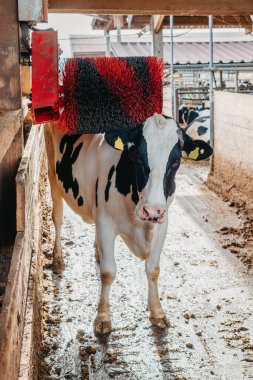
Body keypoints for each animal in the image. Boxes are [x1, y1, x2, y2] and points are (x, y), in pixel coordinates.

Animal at [44, 113, 212, 336]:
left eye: (176, 161)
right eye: (136, 156)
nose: (152, 211)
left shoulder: (163, 223)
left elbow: (153, 269)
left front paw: (157, 312)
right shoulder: (106, 223)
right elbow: (108, 272)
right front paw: (103, 318)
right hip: (52, 169)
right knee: (58, 217)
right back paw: (57, 259)